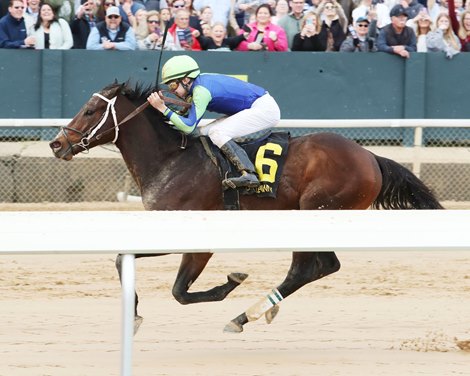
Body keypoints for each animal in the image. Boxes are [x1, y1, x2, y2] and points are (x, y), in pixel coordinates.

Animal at [49, 81, 442, 332]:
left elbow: (179, 292)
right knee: (322, 267)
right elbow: (121, 259)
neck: (171, 161)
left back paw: (244, 316)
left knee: (306, 269)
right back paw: (257, 312)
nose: (56, 144)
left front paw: (231, 282)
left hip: (314, 211)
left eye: (90, 110)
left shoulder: (198, 240)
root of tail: (370, 156)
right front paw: (132, 316)